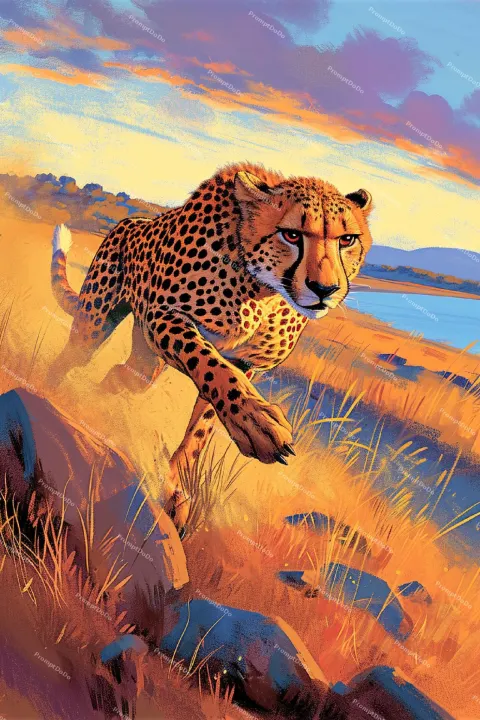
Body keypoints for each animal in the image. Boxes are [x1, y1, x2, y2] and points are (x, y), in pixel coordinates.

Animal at [48, 162, 373, 527]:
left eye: (347, 240)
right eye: (291, 235)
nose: (325, 289)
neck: (262, 290)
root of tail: (130, 221)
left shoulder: (245, 362)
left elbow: (201, 427)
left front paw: (172, 486)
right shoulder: (165, 316)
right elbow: (212, 367)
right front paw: (258, 424)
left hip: (146, 360)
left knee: (123, 376)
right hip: (94, 323)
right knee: (68, 360)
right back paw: (55, 396)